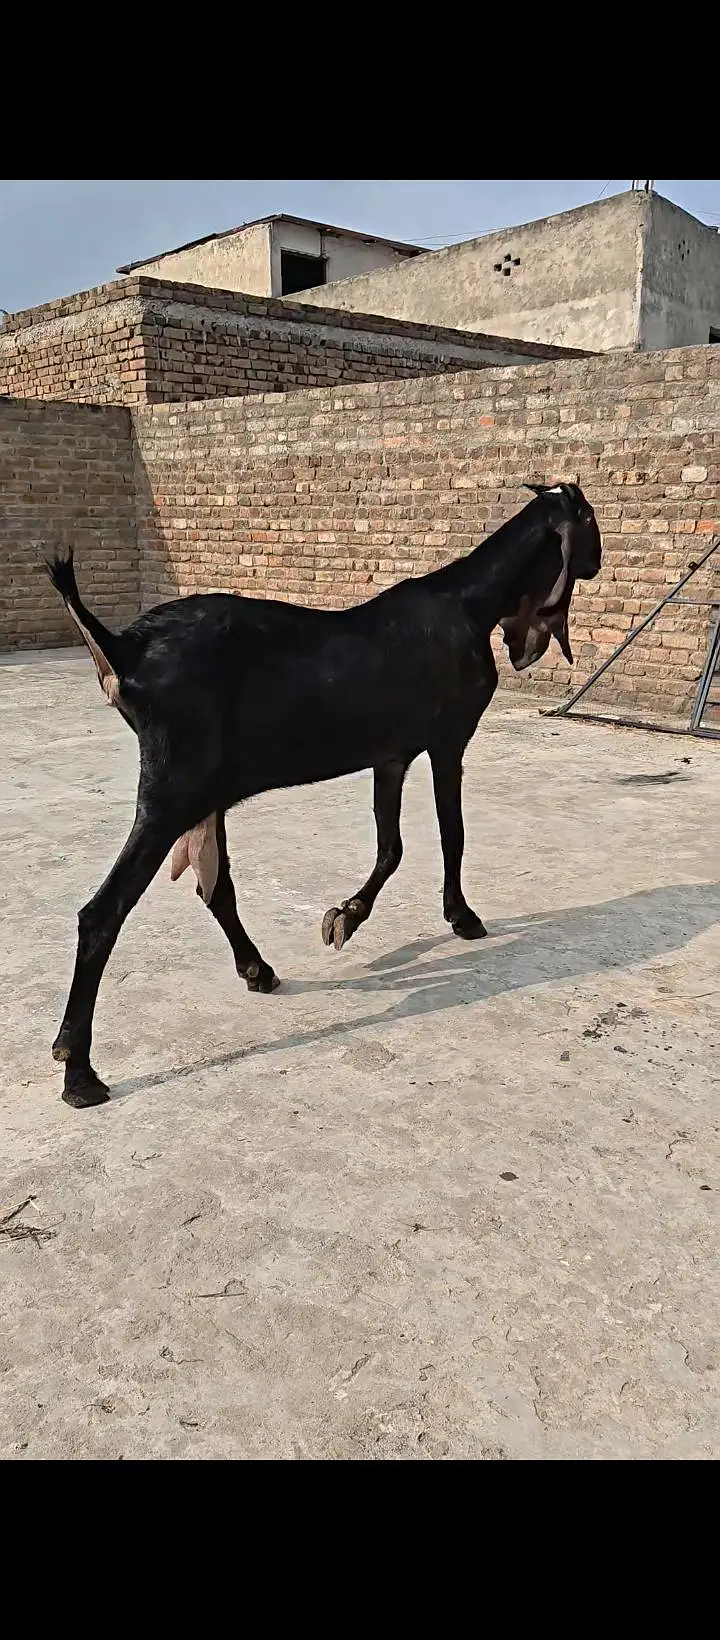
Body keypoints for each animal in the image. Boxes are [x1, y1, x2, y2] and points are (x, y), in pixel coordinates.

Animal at [45, 481, 602, 1108]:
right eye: (589, 519)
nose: (597, 563)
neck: (470, 602)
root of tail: (123, 649)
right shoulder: (448, 740)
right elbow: (451, 835)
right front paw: (462, 917)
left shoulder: (391, 754)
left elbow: (391, 847)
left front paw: (346, 917)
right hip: (171, 794)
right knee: (102, 914)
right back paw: (78, 1070)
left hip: (201, 793)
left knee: (216, 889)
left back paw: (258, 970)